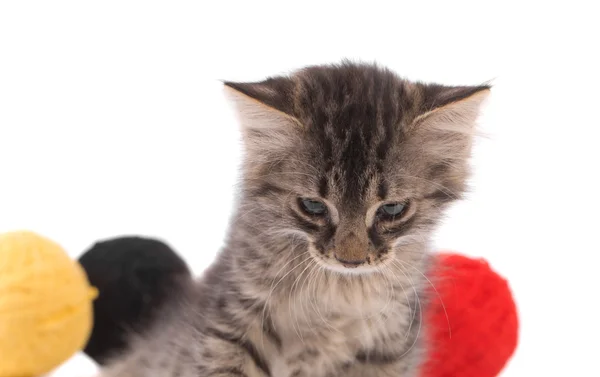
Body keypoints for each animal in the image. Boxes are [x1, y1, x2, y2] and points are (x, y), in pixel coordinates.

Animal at [101, 62, 490, 376]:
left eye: (392, 209)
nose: (350, 260)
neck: (339, 294)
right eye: (313, 207)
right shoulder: (233, 321)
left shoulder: (389, 343)